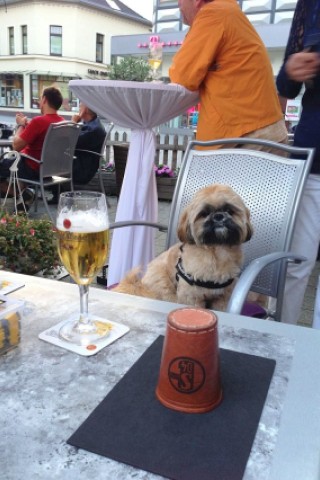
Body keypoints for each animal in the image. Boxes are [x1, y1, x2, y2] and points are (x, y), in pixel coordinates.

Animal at [114, 184, 252, 312]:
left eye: (229, 210)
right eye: (204, 214)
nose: (218, 216)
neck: (216, 251)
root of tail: (140, 284)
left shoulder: (224, 296)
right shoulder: (191, 295)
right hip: (165, 288)